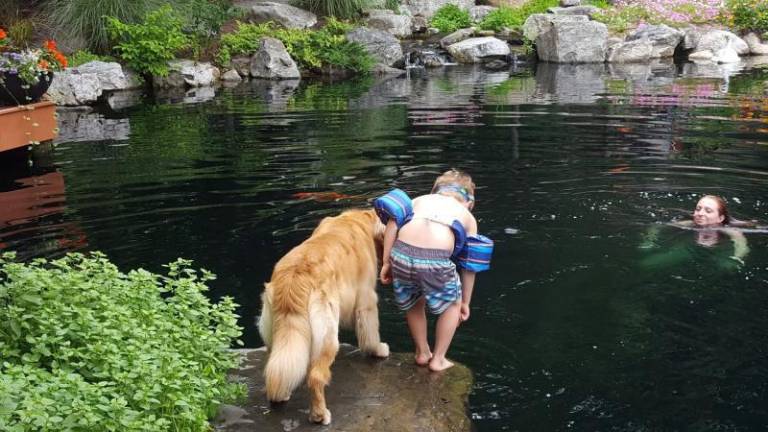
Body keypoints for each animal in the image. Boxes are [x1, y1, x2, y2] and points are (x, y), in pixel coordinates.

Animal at [258, 208, 390, 426]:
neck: (359, 219)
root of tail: (294, 278)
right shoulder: (366, 300)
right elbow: (370, 331)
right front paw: (378, 350)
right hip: (326, 332)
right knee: (316, 376)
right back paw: (320, 414)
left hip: (274, 328)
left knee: (277, 365)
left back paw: (280, 394)